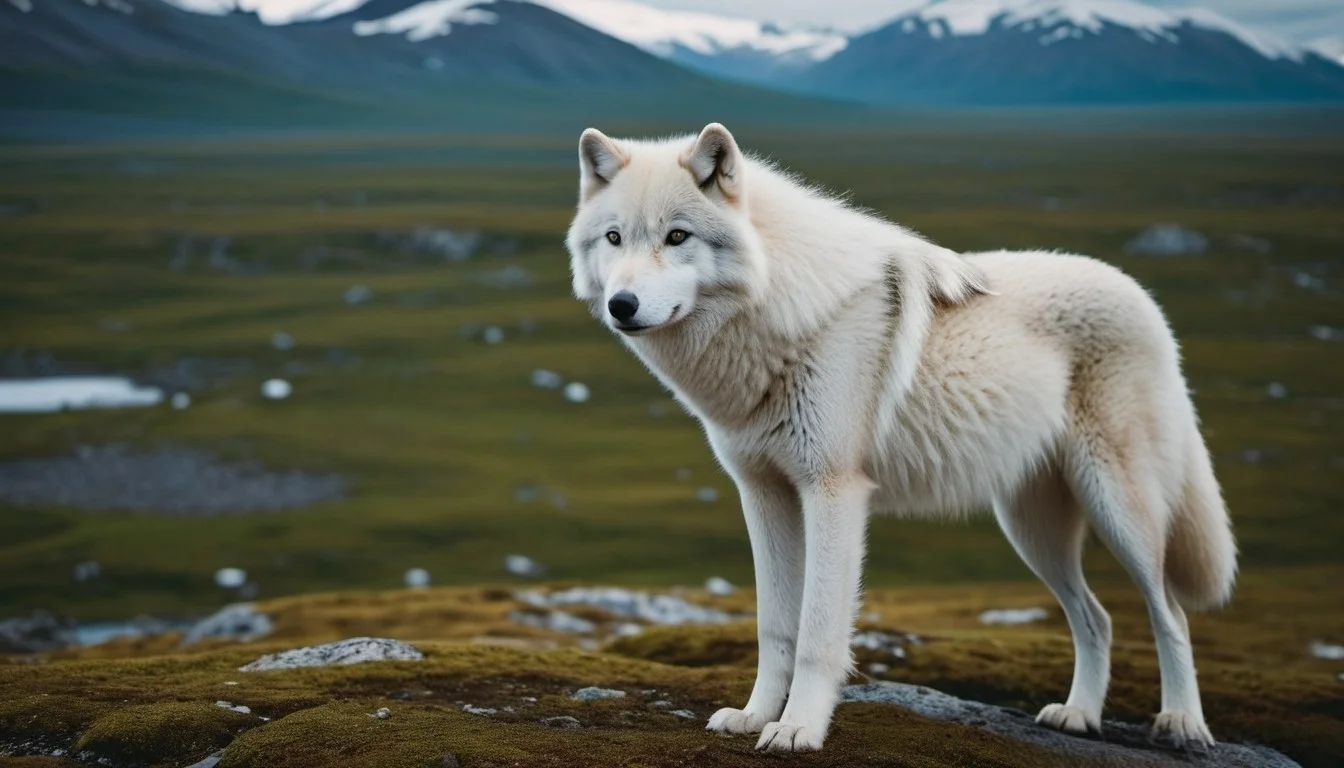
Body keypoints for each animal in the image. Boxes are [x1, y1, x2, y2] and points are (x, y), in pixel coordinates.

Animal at [563, 123, 1237, 753]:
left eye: (678, 236)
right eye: (614, 238)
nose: (623, 305)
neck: (777, 315)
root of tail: (1143, 296)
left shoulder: (834, 493)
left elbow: (816, 633)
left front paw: (798, 729)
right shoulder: (763, 495)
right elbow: (774, 627)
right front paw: (755, 716)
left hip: (1118, 510)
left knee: (1170, 611)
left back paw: (1182, 723)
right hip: (1033, 531)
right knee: (1097, 618)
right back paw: (1078, 715)